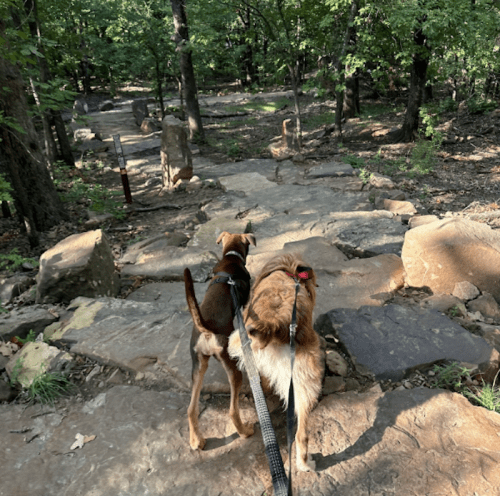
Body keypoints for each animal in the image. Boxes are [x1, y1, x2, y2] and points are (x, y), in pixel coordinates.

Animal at [186, 231, 258, 452]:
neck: (230, 256)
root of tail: (205, 328)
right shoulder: (244, 304)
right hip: (232, 367)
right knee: (233, 411)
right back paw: (245, 432)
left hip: (198, 364)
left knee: (191, 409)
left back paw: (196, 441)